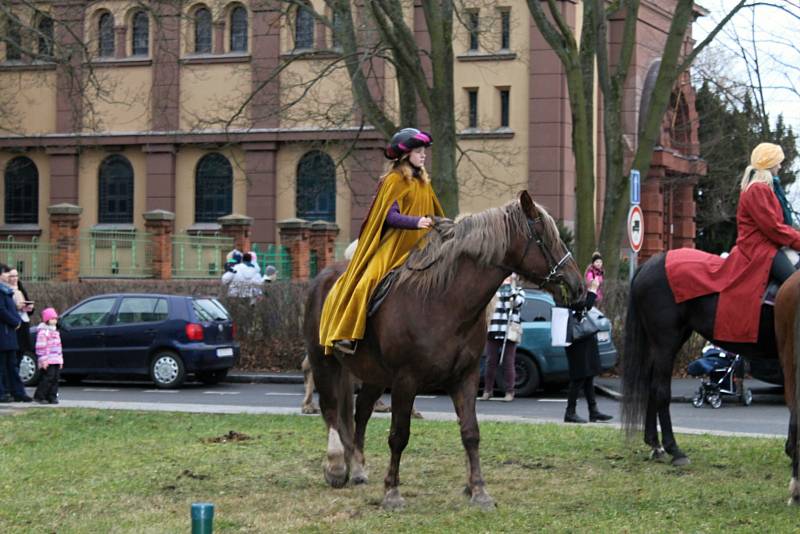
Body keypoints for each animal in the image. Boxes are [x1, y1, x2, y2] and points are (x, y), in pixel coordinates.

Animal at [300, 193, 580, 510]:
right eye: (543, 236)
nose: (578, 285)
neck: (443, 301)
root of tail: (323, 276)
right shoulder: (406, 380)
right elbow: (399, 435)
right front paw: (392, 492)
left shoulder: (465, 377)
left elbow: (470, 432)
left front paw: (479, 490)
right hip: (323, 361)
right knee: (331, 409)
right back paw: (336, 466)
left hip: (373, 374)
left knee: (361, 412)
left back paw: (357, 467)